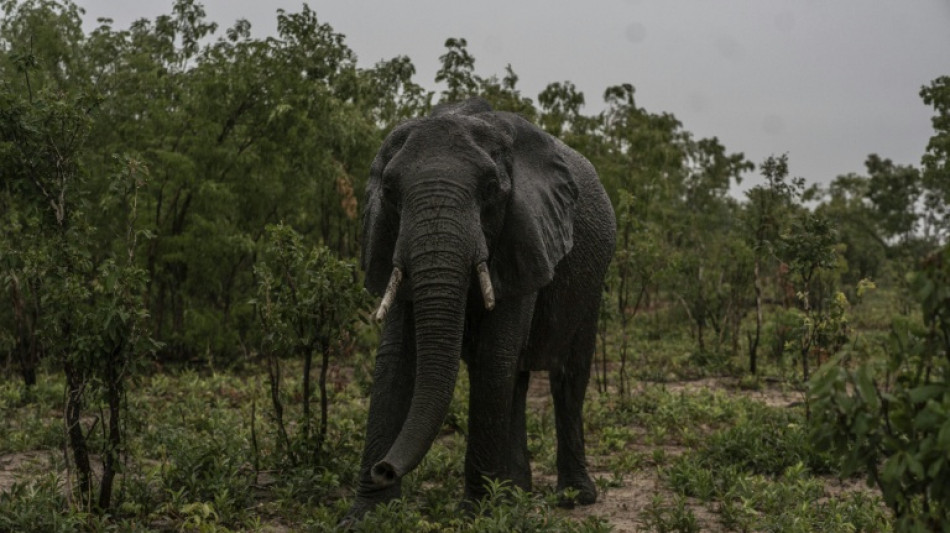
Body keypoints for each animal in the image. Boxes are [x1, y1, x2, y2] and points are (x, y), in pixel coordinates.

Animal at [343, 98, 616, 523]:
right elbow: (395, 358)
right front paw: (365, 517)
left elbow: (493, 355)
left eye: (490, 189)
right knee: (517, 378)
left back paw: (573, 497)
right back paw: (517, 493)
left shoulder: (524, 234)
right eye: (388, 190)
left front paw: (475, 514)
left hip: (593, 280)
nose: (384, 469)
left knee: (567, 376)